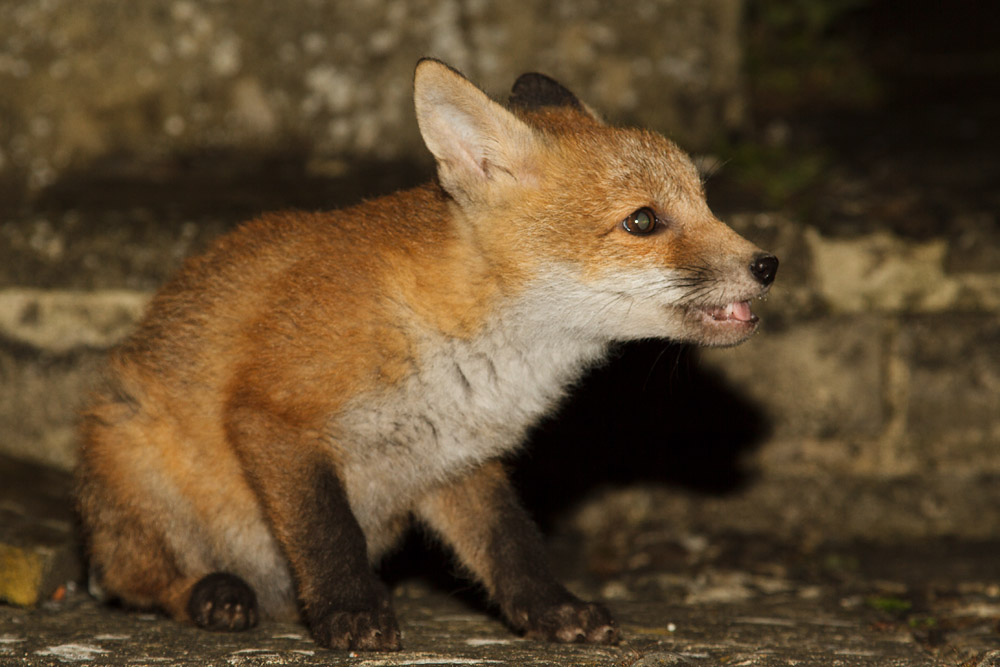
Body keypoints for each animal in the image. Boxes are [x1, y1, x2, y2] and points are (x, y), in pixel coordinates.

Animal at [75, 58, 778, 652]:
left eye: (705, 202)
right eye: (642, 222)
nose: (768, 265)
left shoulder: (458, 460)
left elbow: (511, 543)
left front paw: (552, 610)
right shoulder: (274, 415)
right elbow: (329, 535)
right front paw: (351, 612)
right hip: (131, 459)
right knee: (132, 581)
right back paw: (210, 592)